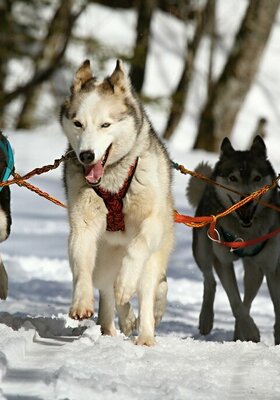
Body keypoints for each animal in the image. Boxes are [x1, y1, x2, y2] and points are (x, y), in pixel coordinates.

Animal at [61, 60, 174, 346]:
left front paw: (126, 283)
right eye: (77, 123)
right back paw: (113, 326)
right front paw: (81, 302)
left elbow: (137, 248)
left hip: (154, 258)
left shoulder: (151, 223)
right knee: (107, 291)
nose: (86, 155)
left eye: (105, 125)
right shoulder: (82, 226)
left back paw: (145, 335)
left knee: (146, 291)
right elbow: (81, 266)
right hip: (103, 261)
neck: (112, 180)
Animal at [187, 137, 280, 344]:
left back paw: (239, 333)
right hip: (202, 250)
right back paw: (206, 320)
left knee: (248, 297)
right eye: (233, 178)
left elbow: (272, 306)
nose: (246, 199)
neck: (245, 233)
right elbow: (234, 301)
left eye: (257, 178)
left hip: (254, 270)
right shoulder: (223, 261)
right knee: (210, 281)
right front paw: (251, 331)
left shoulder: (271, 267)